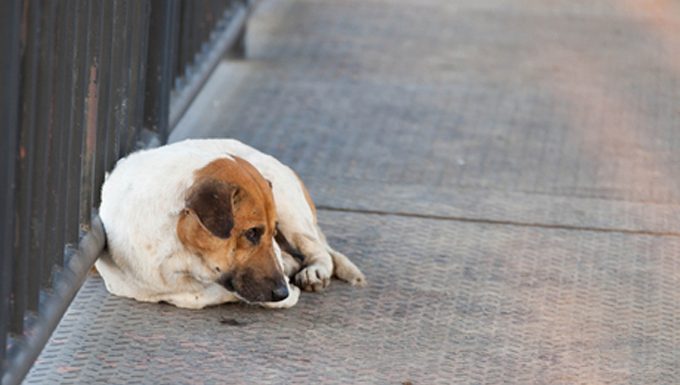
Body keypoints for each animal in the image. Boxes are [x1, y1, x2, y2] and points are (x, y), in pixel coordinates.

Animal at [95, 138, 366, 308]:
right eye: (252, 233)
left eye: (272, 231)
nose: (282, 292)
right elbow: (201, 295)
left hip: (290, 209)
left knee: (319, 250)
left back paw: (315, 270)